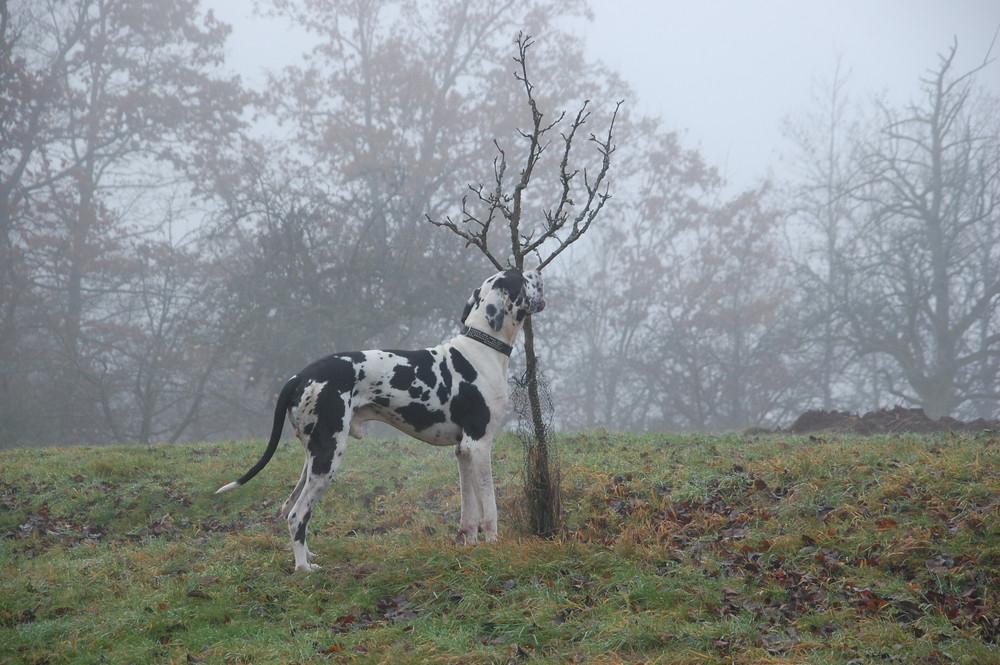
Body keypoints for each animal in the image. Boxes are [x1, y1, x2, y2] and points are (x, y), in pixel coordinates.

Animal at [217, 270, 548, 572]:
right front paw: (494, 546)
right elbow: (489, 508)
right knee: (297, 514)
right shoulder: (479, 445)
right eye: (520, 277)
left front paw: (470, 543)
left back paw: (308, 556)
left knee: (289, 506)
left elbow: (470, 510)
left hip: (314, 459)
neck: (482, 348)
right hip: (328, 458)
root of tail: (299, 376)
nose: (537, 271)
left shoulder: (463, 451)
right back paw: (304, 569)